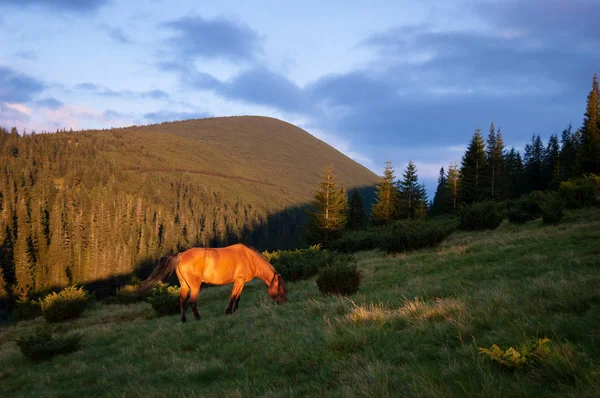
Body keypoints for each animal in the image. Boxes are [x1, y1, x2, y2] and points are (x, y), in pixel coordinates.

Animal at [137, 243, 288, 324]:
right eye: (280, 288)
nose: (285, 302)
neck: (249, 257)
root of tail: (180, 255)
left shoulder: (241, 282)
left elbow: (238, 297)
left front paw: (235, 310)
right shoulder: (238, 281)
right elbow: (233, 296)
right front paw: (228, 311)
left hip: (184, 285)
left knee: (181, 300)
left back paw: (184, 319)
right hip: (195, 286)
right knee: (192, 301)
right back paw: (198, 318)